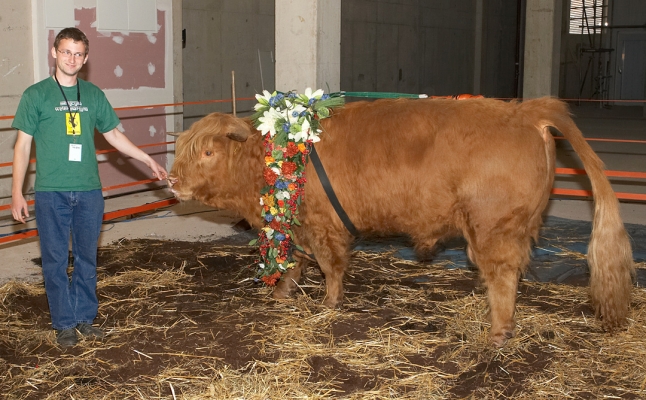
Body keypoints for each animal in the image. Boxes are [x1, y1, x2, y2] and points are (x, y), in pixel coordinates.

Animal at [167, 97, 634, 347]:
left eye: (207, 152)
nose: (171, 180)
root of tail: (526, 110)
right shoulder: (298, 224)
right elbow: (296, 261)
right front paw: (282, 294)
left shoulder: (322, 225)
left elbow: (329, 265)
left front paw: (329, 305)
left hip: (493, 226)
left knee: (503, 276)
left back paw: (497, 333)